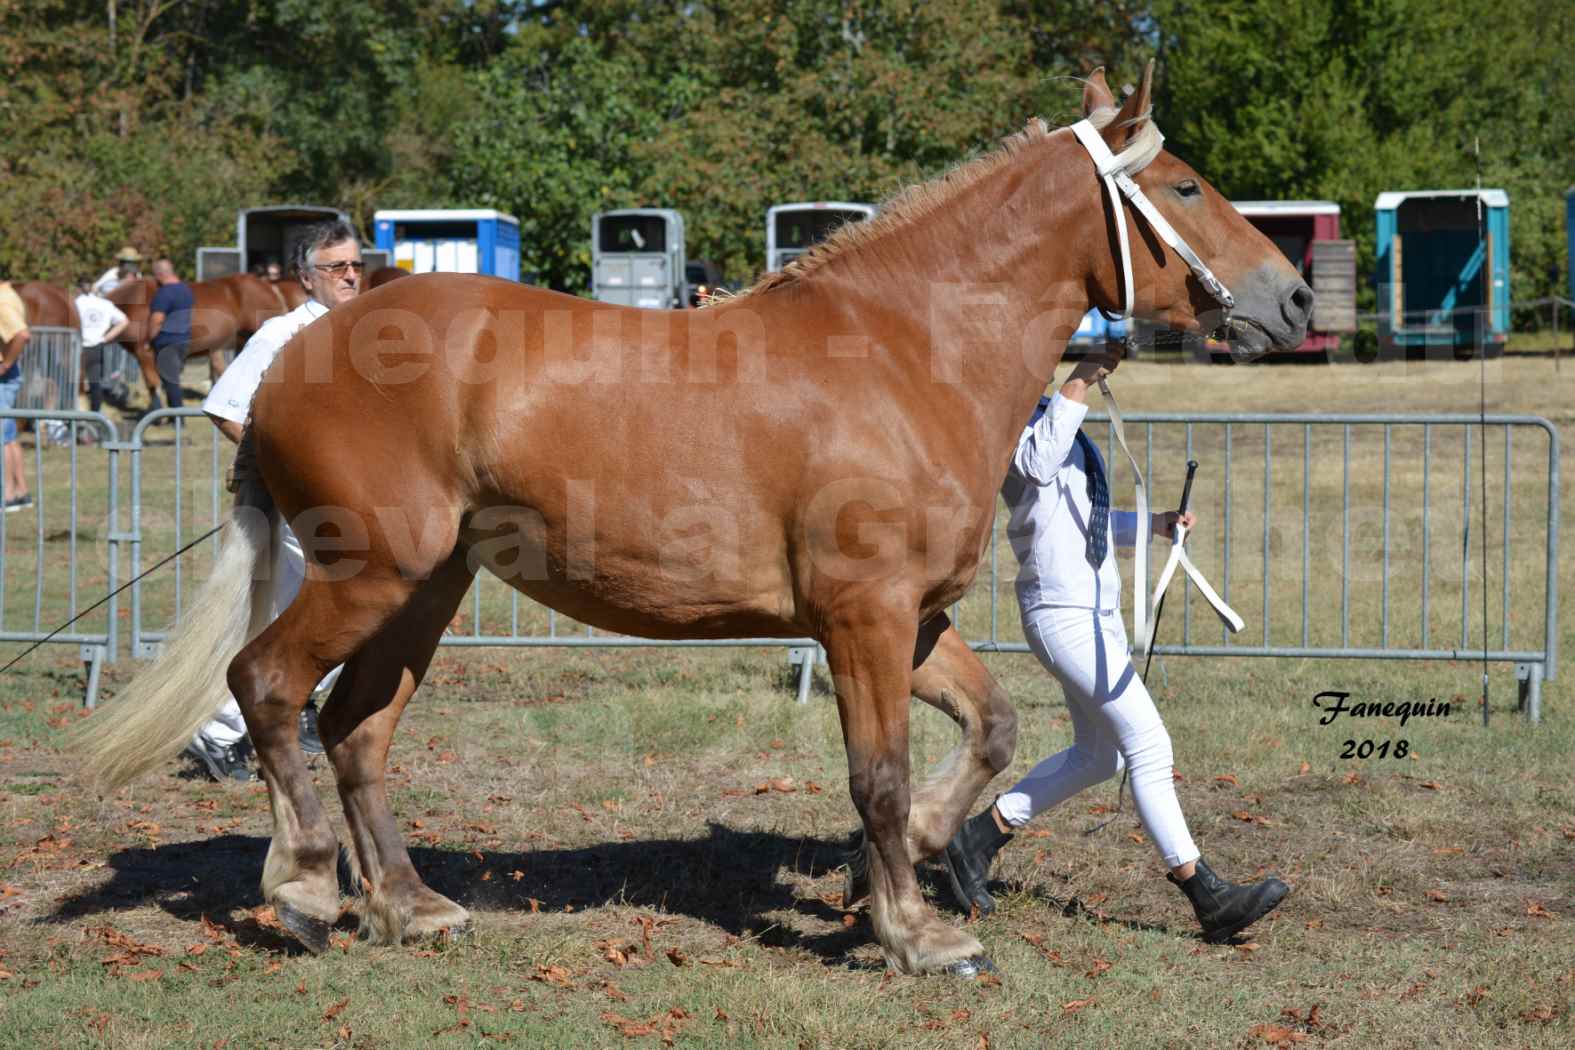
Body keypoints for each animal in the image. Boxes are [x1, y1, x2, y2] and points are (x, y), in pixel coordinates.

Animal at [74, 69, 1310, 976]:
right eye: (1186, 189)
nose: (1295, 297)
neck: (904, 353)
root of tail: (292, 353)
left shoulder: (910, 620)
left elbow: (990, 731)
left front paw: (911, 865)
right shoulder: (860, 619)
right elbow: (878, 774)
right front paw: (915, 932)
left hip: (427, 589)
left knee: (356, 729)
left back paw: (412, 906)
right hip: (369, 572)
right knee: (269, 686)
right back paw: (305, 887)